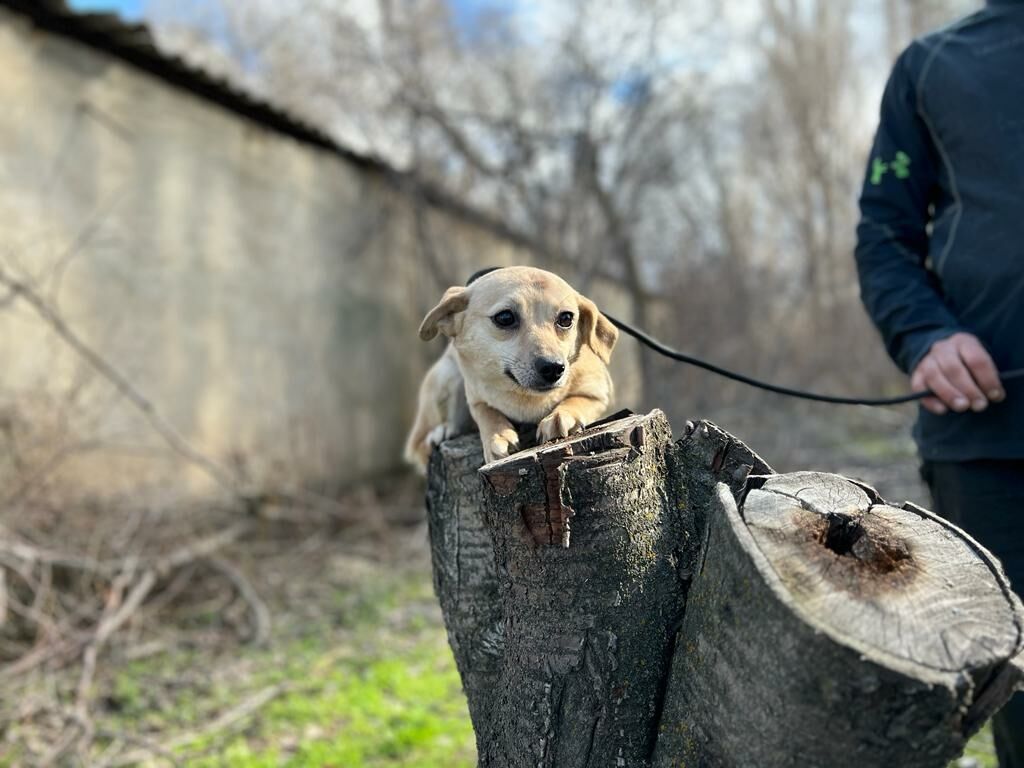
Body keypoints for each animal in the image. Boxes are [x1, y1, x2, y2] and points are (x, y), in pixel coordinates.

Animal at [405, 268, 614, 473]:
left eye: (566, 318)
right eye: (505, 317)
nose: (553, 368)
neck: (526, 398)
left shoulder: (600, 393)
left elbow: (578, 399)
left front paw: (561, 416)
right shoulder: (476, 399)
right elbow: (487, 413)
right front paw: (497, 436)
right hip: (445, 376)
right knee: (419, 444)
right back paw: (440, 431)